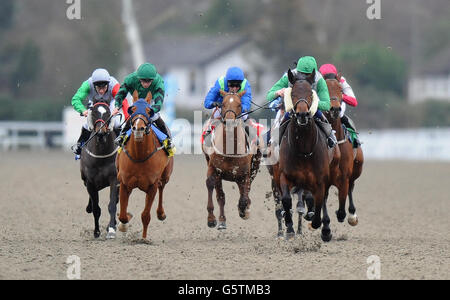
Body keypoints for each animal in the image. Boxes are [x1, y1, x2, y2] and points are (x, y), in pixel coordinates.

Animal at [80, 101, 119, 239]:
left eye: (108, 113)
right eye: (94, 113)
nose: (101, 133)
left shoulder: (114, 179)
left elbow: (112, 205)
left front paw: (111, 229)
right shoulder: (90, 182)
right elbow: (96, 209)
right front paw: (96, 232)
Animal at [114, 90, 174, 240]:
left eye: (148, 110)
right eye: (133, 109)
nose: (138, 128)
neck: (139, 156)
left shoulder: (152, 185)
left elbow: (146, 215)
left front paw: (144, 238)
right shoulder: (124, 183)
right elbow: (123, 215)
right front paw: (123, 224)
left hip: (165, 176)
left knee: (162, 188)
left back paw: (161, 213)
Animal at [200, 89, 260, 230]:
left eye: (239, 104)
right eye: (222, 104)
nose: (229, 122)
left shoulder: (245, 174)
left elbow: (244, 196)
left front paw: (244, 210)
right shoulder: (214, 168)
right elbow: (213, 187)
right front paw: (212, 219)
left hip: (253, 168)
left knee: (246, 190)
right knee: (221, 195)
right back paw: (222, 220)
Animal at [276, 69, 340, 241]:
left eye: (311, 94)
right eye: (293, 94)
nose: (303, 114)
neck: (303, 149)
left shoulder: (320, 179)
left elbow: (318, 200)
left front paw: (317, 222)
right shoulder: (284, 175)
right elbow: (286, 199)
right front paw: (290, 228)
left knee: (321, 198)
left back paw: (325, 228)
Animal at [326, 75, 364, 225]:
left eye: (340, 90)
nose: (335, 109)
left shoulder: (344, 176)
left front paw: (343, 214)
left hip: (357, 167)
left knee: (351, 186)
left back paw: (352, 214)